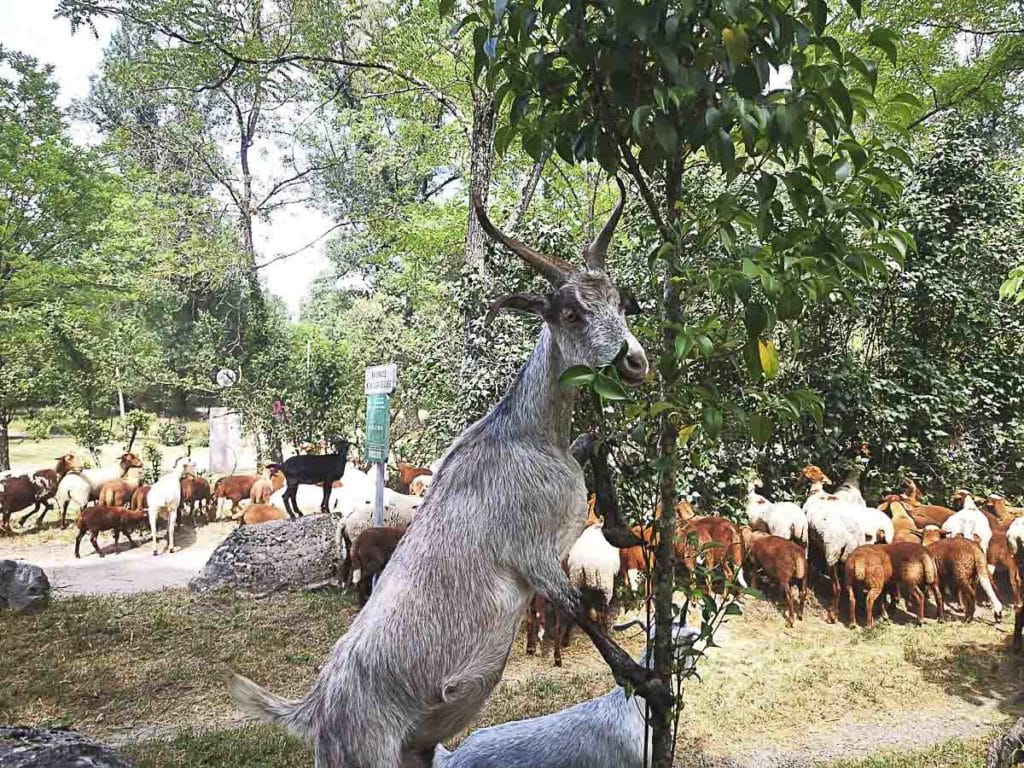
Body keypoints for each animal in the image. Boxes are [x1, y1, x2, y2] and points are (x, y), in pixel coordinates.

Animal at [228, 178, 663, 768]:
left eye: (619, 301)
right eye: (570, 312)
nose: (634, 362)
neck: (525, 434)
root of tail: (312, 711)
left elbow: (596, 444)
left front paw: (619, 528)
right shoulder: (531, 552)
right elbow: (580, 610)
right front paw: (646, 680)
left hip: (417, 751)